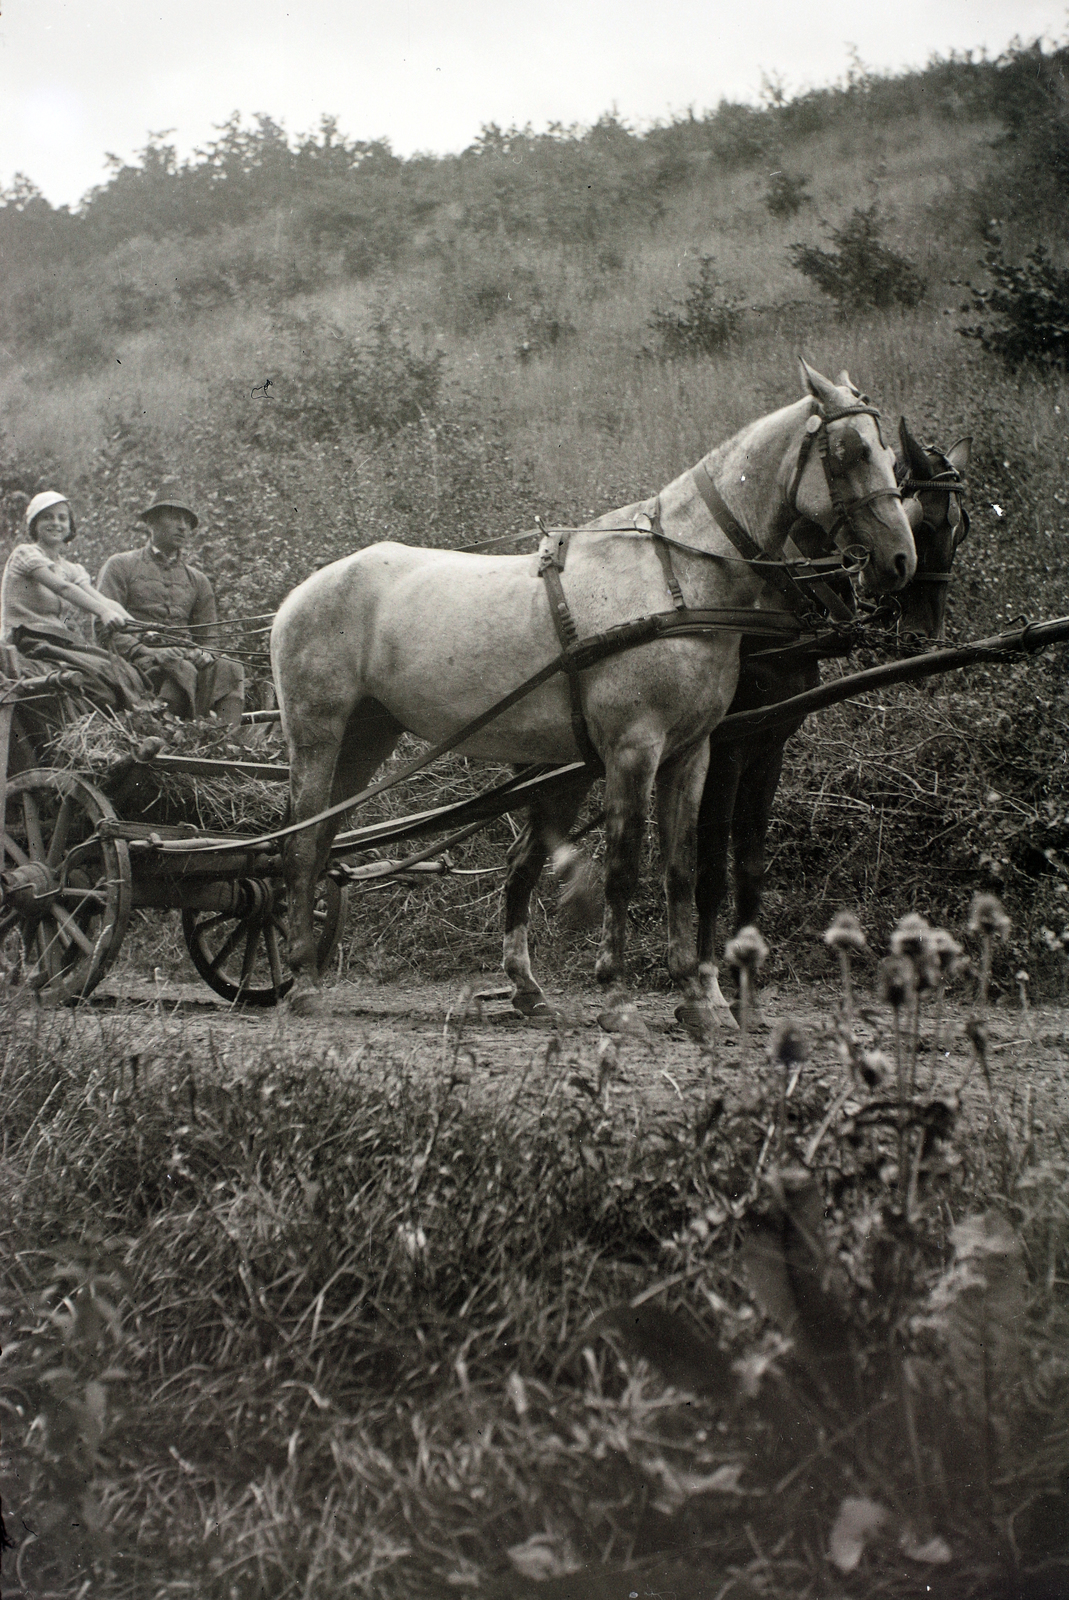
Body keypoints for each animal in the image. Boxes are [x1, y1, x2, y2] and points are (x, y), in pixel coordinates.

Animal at [271, 361, 916, 1026]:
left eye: (889, 452)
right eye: (850, 450)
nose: (900, 561)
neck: (677, 580)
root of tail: (300, 593)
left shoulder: (692, 752)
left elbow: (681, 869)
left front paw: (695, 996)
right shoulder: (634, 749)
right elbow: (623, 869)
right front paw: (615, 991)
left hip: (367, 737)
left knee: (327, 842)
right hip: (317, 735)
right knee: (301, 846)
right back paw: (302, 980)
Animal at [694, 415, 971, 1017]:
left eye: (960, 530)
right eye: (923, 519)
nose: (924, 638)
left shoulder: (768, 744)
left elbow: (750, 867)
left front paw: (746, 984)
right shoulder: (725, 747)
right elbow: (710, 866)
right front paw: (706, 988)